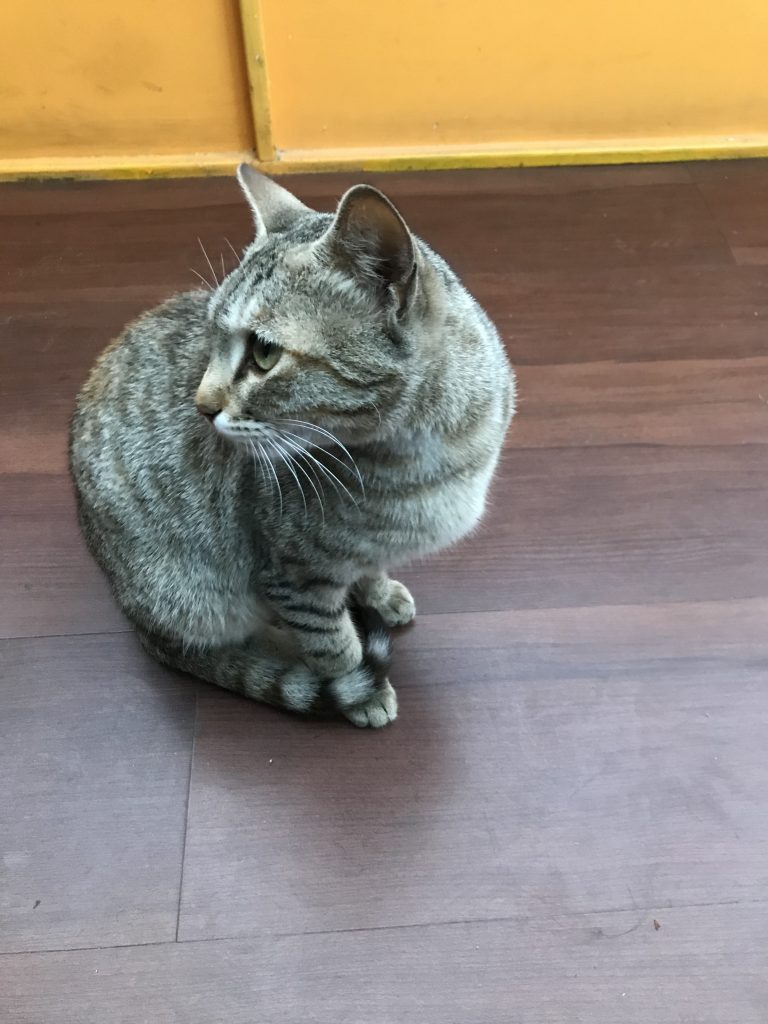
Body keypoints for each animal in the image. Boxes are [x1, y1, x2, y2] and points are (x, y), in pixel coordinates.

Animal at [70, 165, 518, 729]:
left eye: (264, 353)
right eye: (210, 338)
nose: (200, 404)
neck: (423, 457)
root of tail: (132, 613)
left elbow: (369, 566)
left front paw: (378, 592)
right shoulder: (292, 576)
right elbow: (333, 647)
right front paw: (360, 689)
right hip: (193, 597)